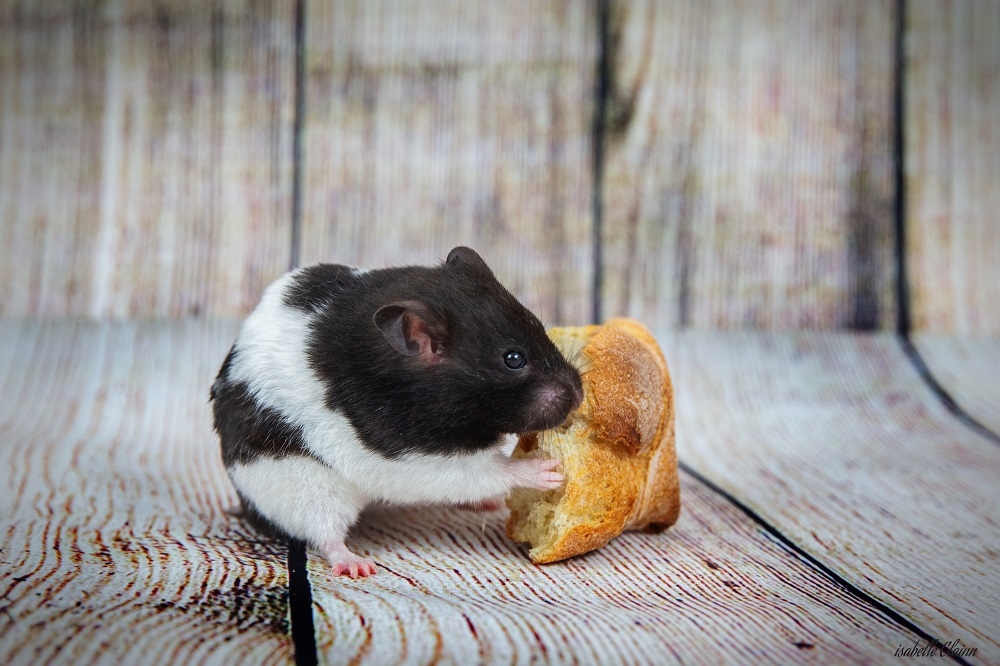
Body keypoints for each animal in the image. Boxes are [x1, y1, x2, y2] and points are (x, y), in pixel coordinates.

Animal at [211, 247, 583, 578]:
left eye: (539, 326)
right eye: (513, 359)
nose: (579, 397)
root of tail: (243, 502)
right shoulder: (413, 458)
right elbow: (487, 470)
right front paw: (547, 469)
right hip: (304, 486)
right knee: (323, 532)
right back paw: (356, 566)